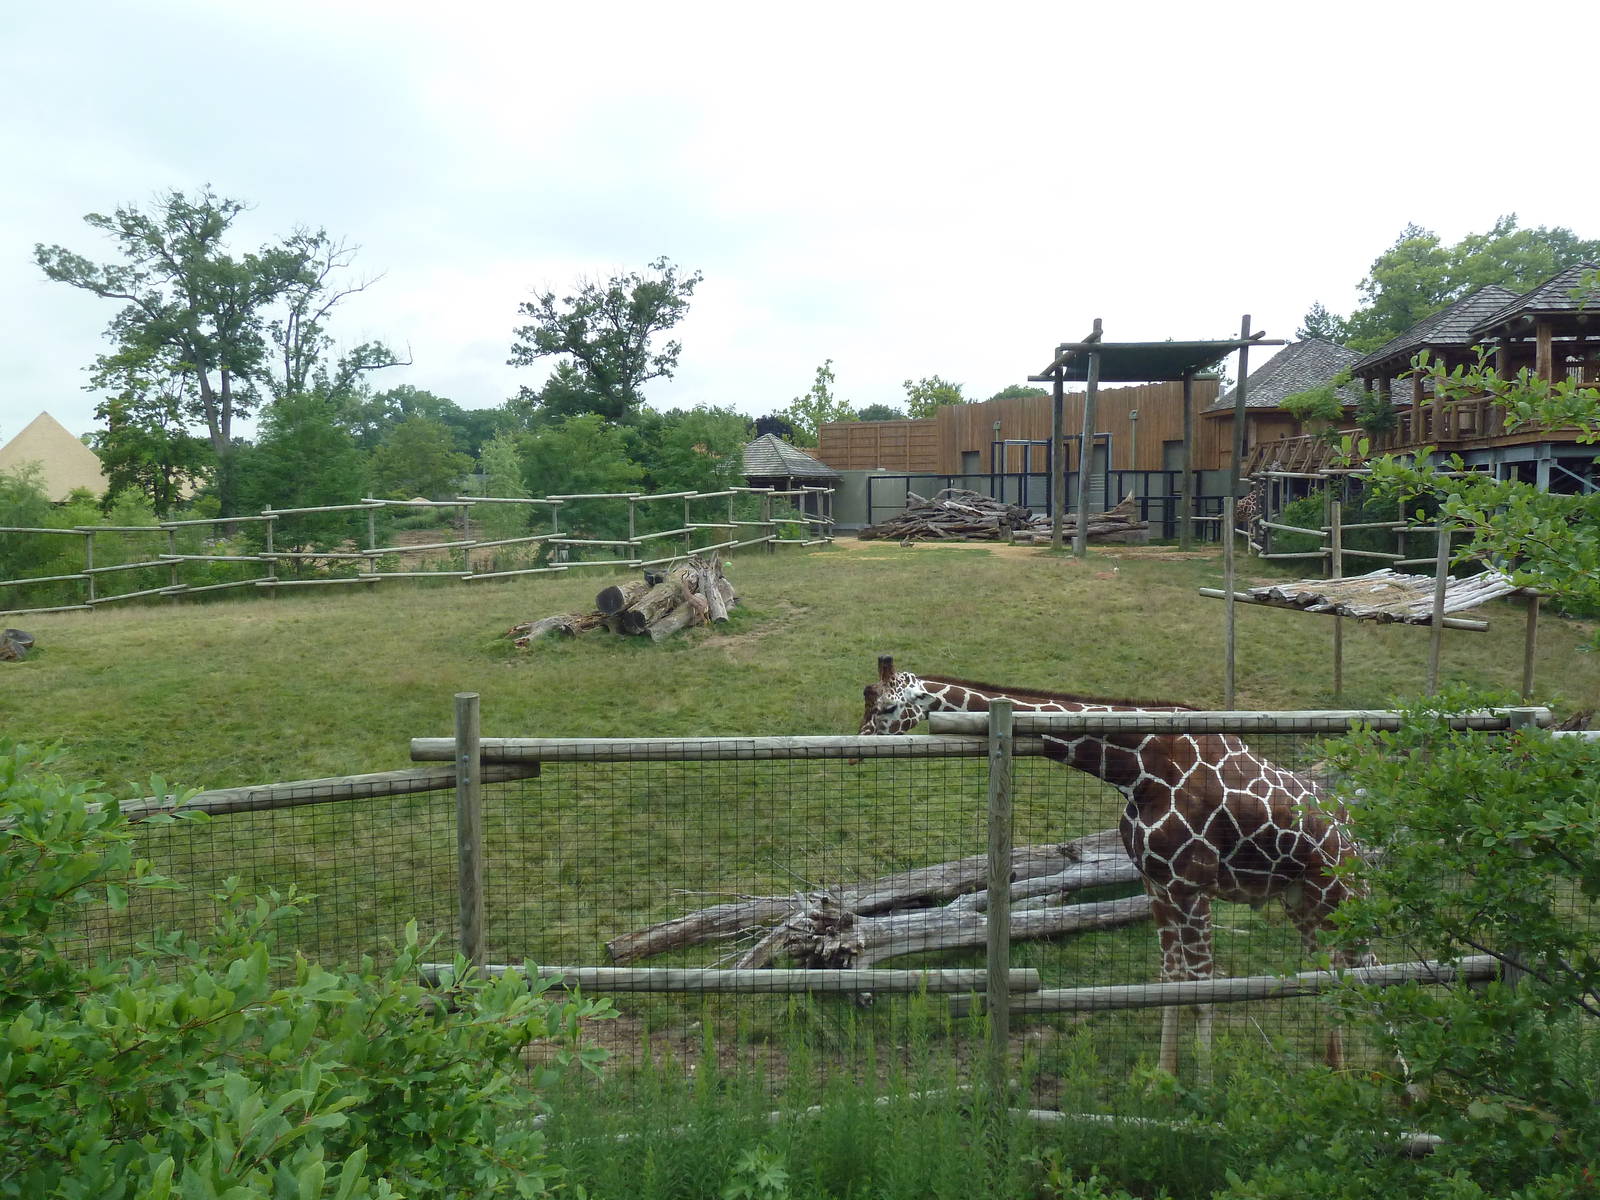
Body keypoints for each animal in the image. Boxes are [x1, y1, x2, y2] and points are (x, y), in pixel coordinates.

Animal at [858, 655, 1371, 1076]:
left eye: (887, 708)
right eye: (867, 705)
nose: (861, 744)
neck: (1139, 769)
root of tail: (1355, 831)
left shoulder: (1192, 885)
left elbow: (1203, 986)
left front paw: (1204, 1088)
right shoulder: (1157, 885)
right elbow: (1172, 979)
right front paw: (1162, 1078)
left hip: (1341, 898)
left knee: (1364, 966)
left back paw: (1376, 1078)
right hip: (1301, 902)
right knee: (1333, 971)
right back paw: (1337, 1066)